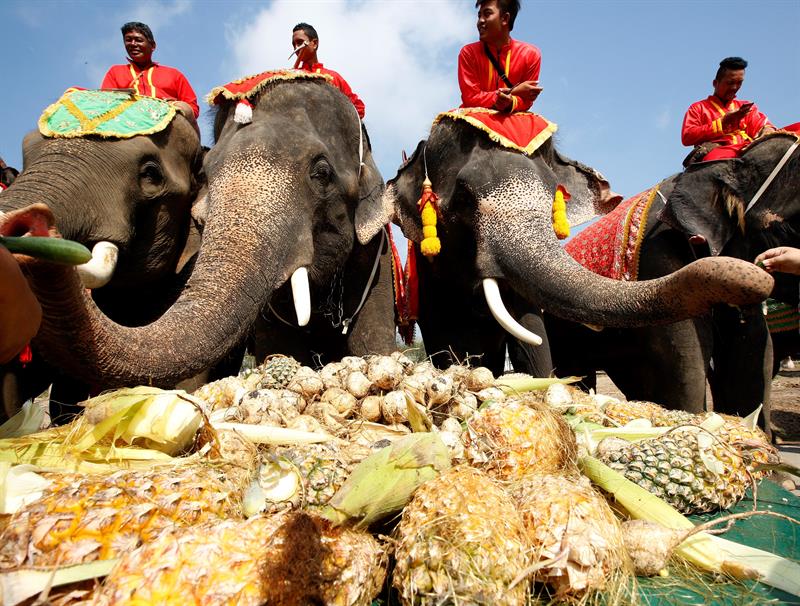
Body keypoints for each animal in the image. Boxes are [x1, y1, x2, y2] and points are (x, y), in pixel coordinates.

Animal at [354, 113, 772, 382]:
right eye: (464, 201)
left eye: (552, 196)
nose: (757, 276)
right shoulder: (432, 283)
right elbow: (451, 342)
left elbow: (530, 329)